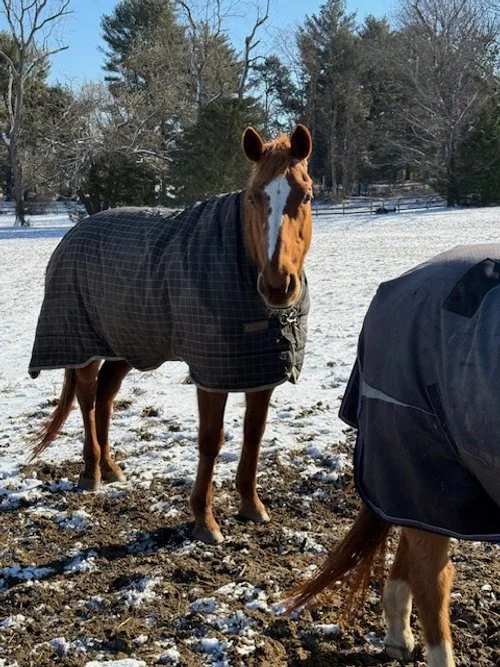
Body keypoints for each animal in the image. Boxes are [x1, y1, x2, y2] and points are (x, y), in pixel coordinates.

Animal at [28, 124, 313, 545]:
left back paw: (111, 468)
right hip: (82, 344)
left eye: (305, 195)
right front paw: (205, 521)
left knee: (106, 396)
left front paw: (251, 506)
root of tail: (73, 234)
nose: (278, 285)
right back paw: (92, 472)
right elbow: (211, 440)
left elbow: (254, 434)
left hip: (126, 344)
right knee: (87, 399)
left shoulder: (259, 371)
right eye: (253, 197)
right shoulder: (212, 374)